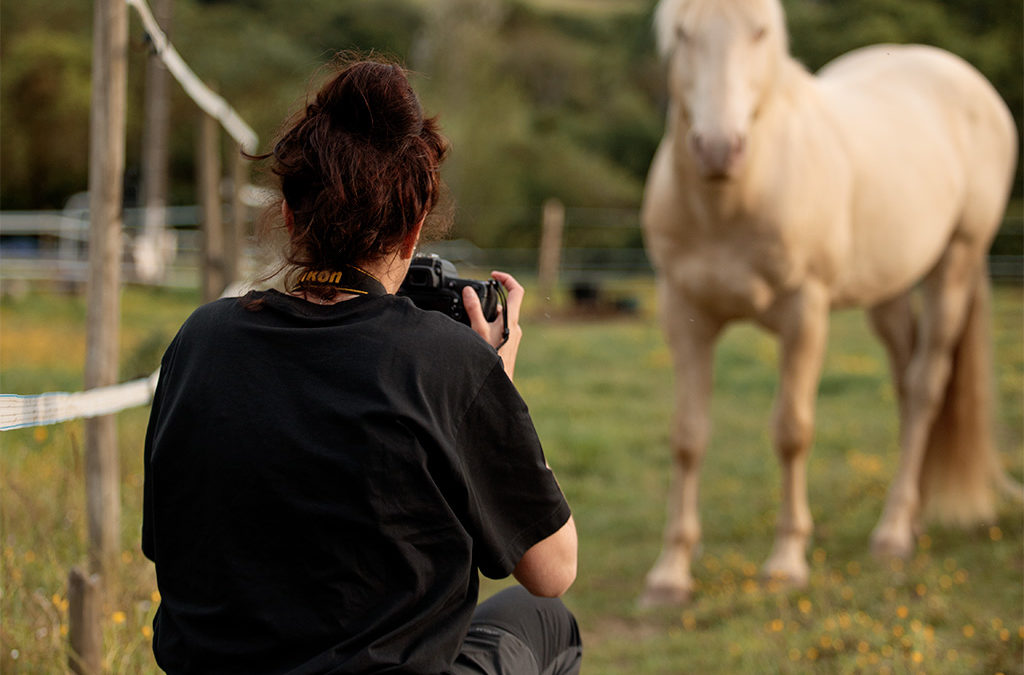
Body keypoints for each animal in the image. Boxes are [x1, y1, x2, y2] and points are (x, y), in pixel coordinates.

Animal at [638, 0, 1015, 606]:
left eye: (759, 32)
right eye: (681, 34)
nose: (718, 149)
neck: (736, 198)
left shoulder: (804, 313)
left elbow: (792, 431)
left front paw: (786, 562)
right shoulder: (684, 314)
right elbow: (688, 437)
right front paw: (670, 573)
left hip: (954, 267)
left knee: (926, 388)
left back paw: (892, 533)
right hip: (888, 291)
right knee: (905, 385)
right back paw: (910, 519)